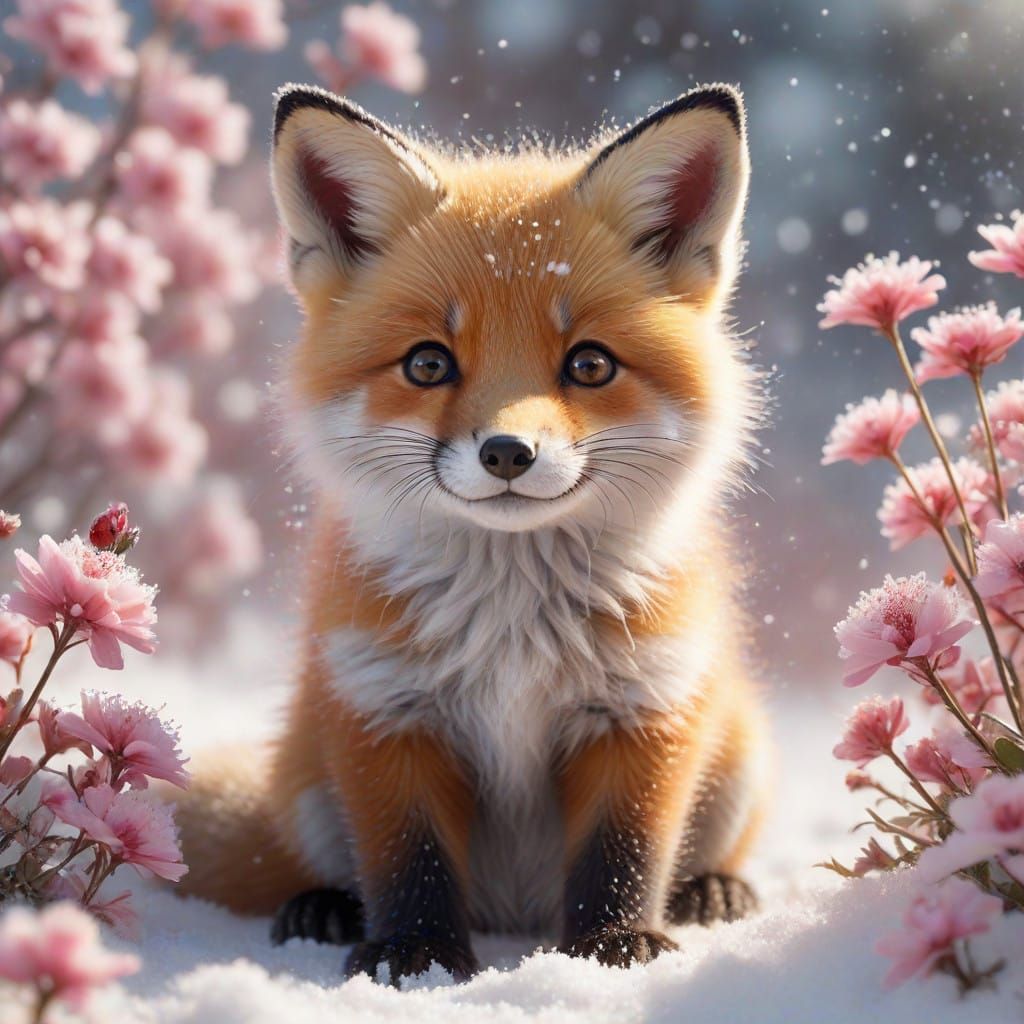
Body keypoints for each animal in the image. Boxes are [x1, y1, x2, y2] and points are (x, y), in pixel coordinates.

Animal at [174, 80, 769, 986]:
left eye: (590, 364)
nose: (507, 452)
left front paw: (613, 946)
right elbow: (407, 859)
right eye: (428, 364)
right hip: (309, 772)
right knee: (326, 864)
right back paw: (325, 908)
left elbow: (623, 850)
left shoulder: (646, 707)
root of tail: (513, 916)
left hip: (734, 755)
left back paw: (710, 890)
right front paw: (413, 958)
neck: (513, 625)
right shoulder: (384, 710)